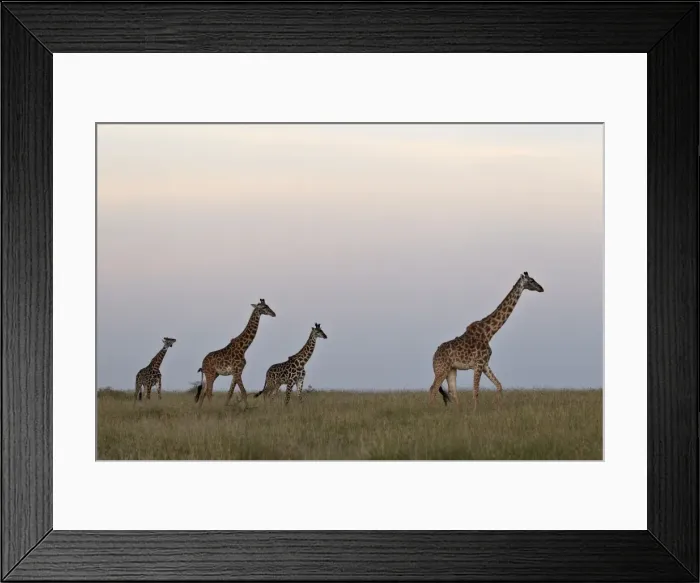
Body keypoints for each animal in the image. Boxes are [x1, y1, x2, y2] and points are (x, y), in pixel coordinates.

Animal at [428, 272, 544, 410]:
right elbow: (476, 391)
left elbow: (499, 385)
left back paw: (458, 410)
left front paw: (496, 406)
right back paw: (432, 410)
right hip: (441, 369)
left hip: (451, 369)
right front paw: (475, 411)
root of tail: (434, 355)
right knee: (433, 389)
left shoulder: (485, 364)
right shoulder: (478, 364)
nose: (541, 288)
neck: (489, 333)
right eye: (531, 281)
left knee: (452, 390)